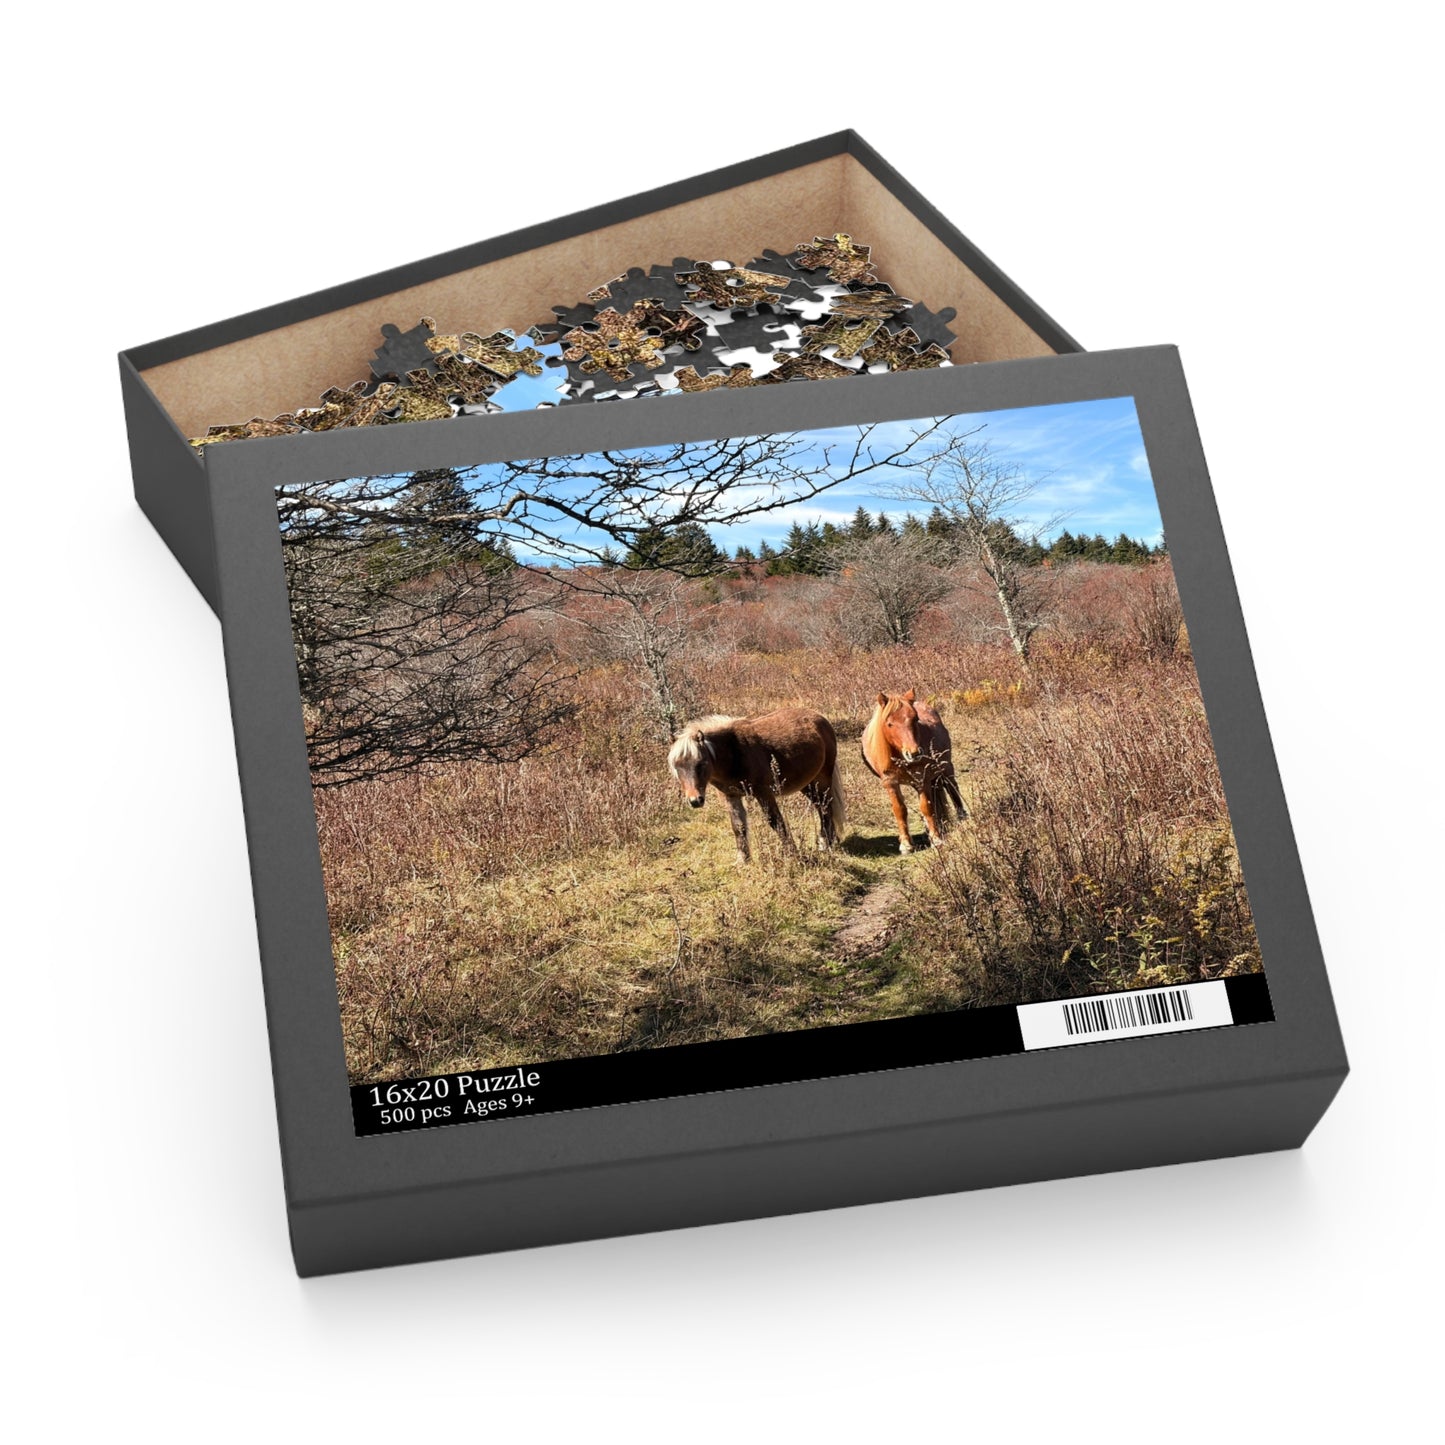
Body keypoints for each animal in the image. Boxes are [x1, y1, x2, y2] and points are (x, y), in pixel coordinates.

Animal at [666, 709, 846, 864]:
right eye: (677, 766)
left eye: (702, 763)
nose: (695, 801)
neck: (734, 752)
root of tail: (821, 718)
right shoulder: (730, 796)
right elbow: (738, 826)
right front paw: (743, 860)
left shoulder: (763, 793)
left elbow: (776, 822)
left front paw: (792, 854)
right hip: (808, 783)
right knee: (821, 806)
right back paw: (828, 840)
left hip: (822, 778)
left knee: (826, 807)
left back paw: (826, 844)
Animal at [861, 688, 965, 853]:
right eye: (889, 724)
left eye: (915, 719)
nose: (914, 753)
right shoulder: (890, 783)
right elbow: (900, 810)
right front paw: (906, 844)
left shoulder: (921, 780)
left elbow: (927, 807)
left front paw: (936, 840)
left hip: (945, 768)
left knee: (952, 788)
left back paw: (962, 819)